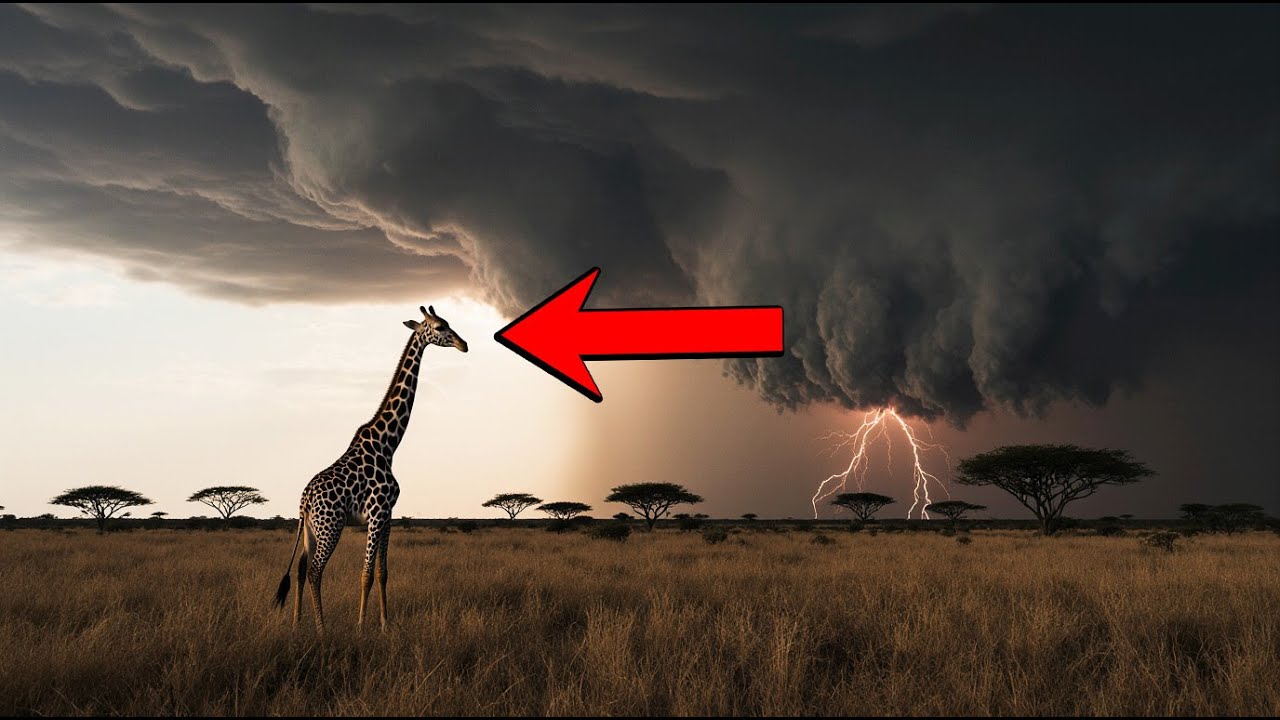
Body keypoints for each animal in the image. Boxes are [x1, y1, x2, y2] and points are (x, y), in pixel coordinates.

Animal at [273, 305, 467, 630]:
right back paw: (322, 629)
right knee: (314, 571)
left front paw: (386, 625)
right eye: (440, 327)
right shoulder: (377, 514)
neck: (388, 444)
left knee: (300, 569)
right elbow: (365, 574)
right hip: (331, 526)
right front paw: (362, 626)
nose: (463, 344)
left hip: (311, 529)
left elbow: (382, 573)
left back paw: (297, 625)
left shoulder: (387, 517)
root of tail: (305, 500)